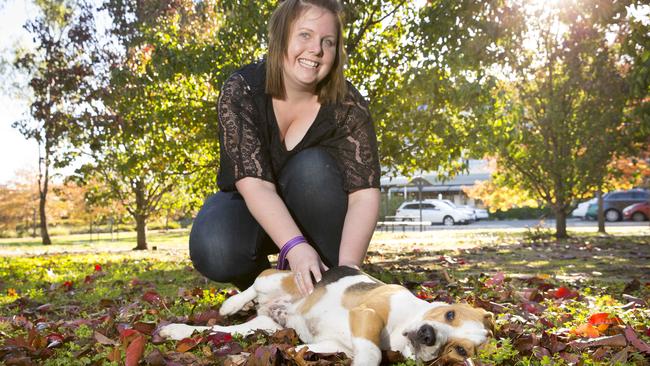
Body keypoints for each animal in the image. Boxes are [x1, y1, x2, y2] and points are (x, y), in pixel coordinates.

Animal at [161, 266, 492, 366]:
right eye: (450, 314)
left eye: (460, 350)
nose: (428, 336)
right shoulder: (367, 312)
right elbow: (372, 353)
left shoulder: (338, 345)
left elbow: (317, 347)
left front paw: (295, 351)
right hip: (277, 278)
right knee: (255, 282)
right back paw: (231, 304)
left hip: (264, 327)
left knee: (219, 331)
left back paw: (173, 331)